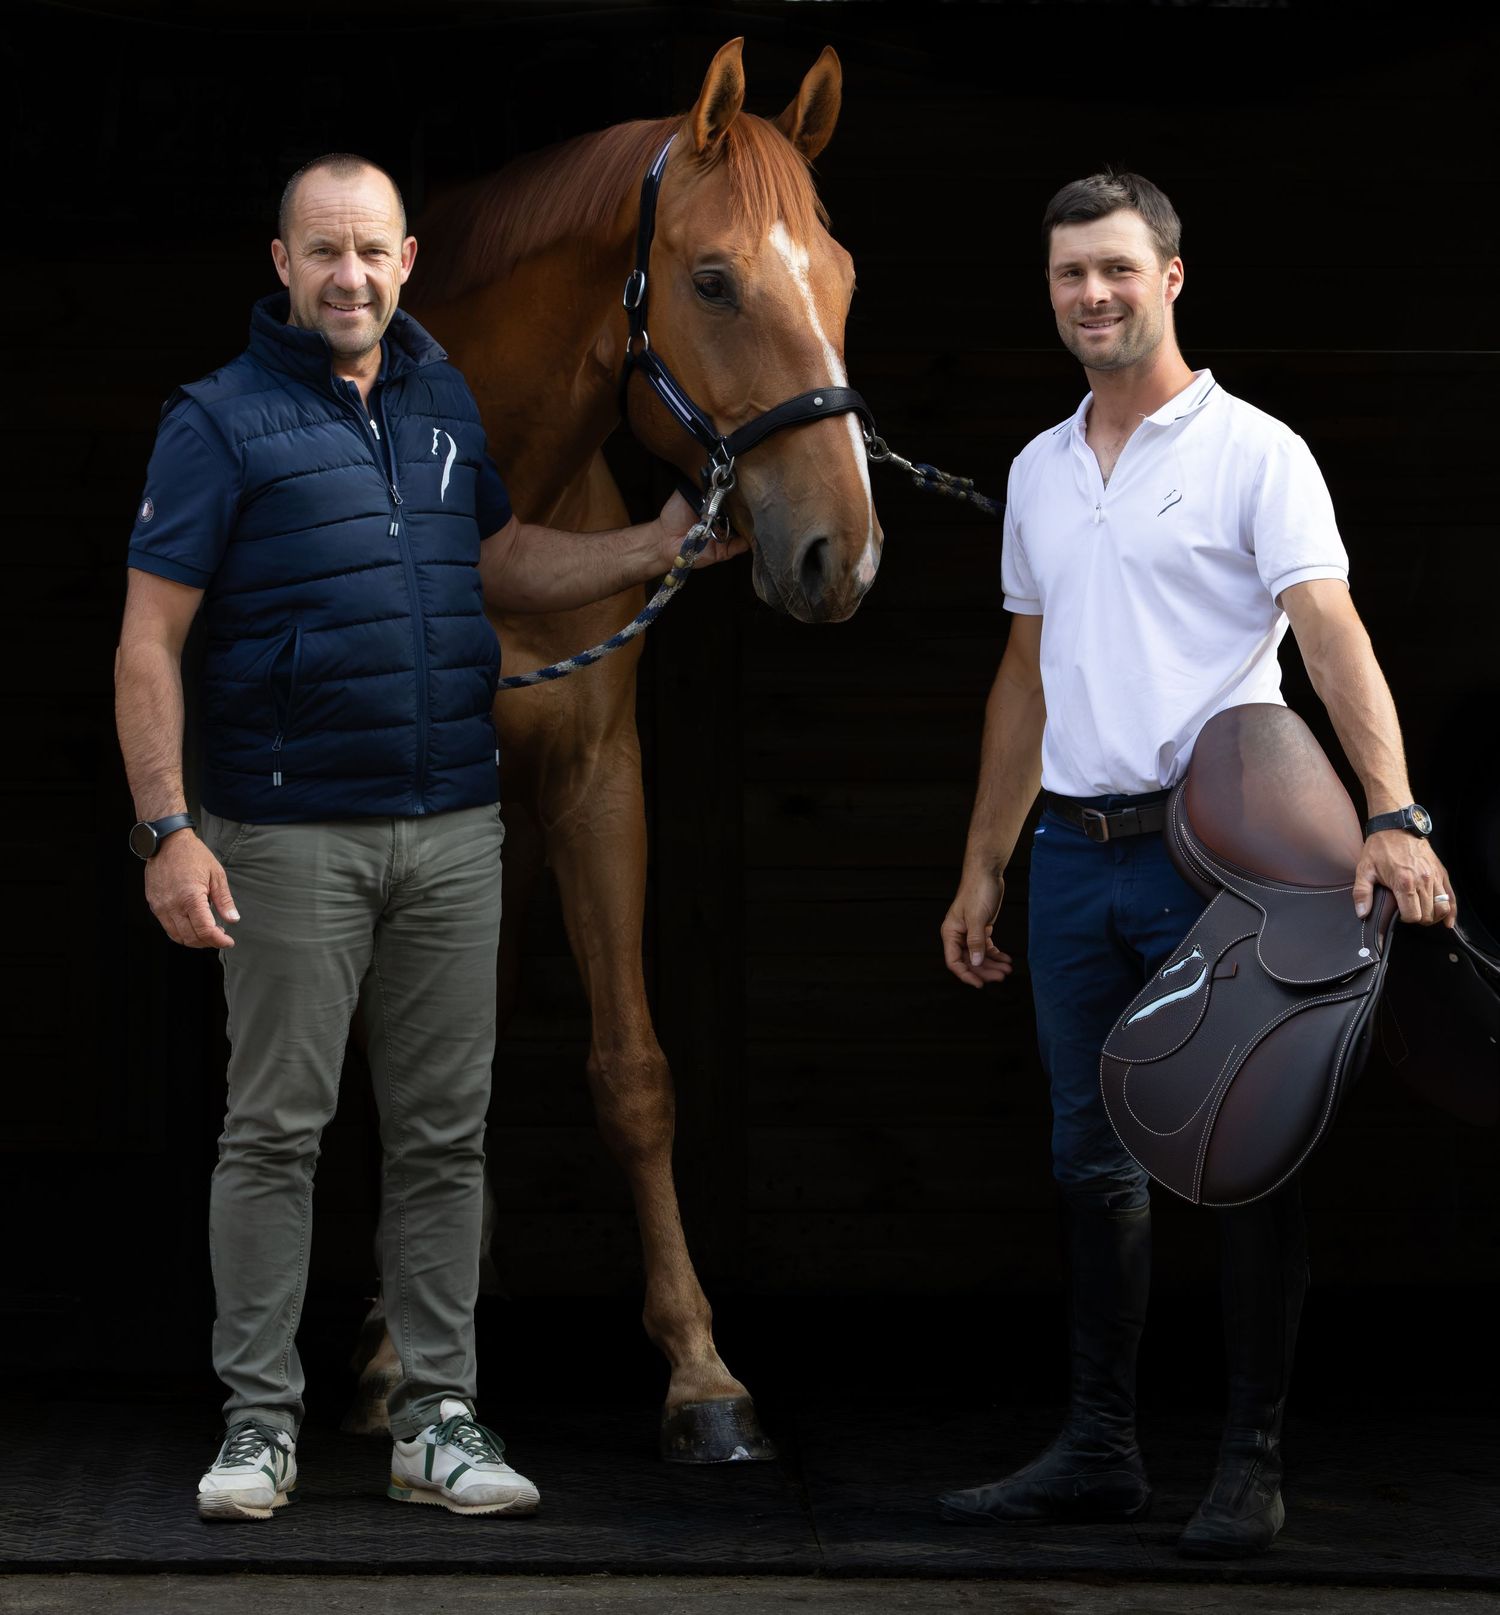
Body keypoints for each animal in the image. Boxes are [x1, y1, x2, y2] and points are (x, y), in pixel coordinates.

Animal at [343, 37, 882, 1462]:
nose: (840, 553)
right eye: (713, 280)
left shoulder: (594, 789)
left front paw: (702, 1373)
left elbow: (634, 1073)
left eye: (844, 276)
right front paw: (393, 1354)